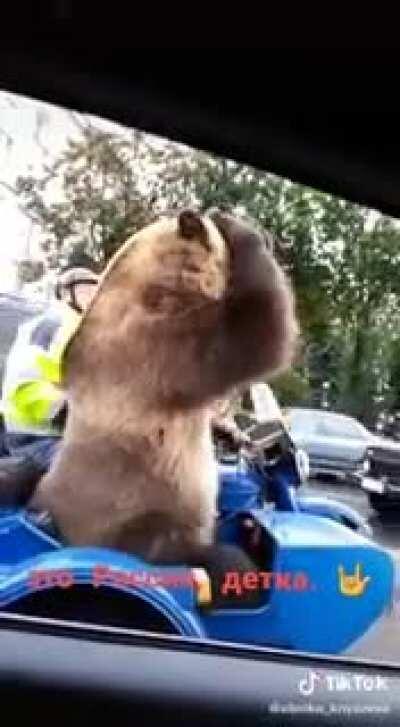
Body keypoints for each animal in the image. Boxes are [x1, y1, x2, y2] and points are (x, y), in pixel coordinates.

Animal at [30, 209, 298, 572]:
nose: (271, 237)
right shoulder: (158, 348)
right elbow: (256, 334)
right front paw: (239, 229)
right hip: (137, 514)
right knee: (190, 550)